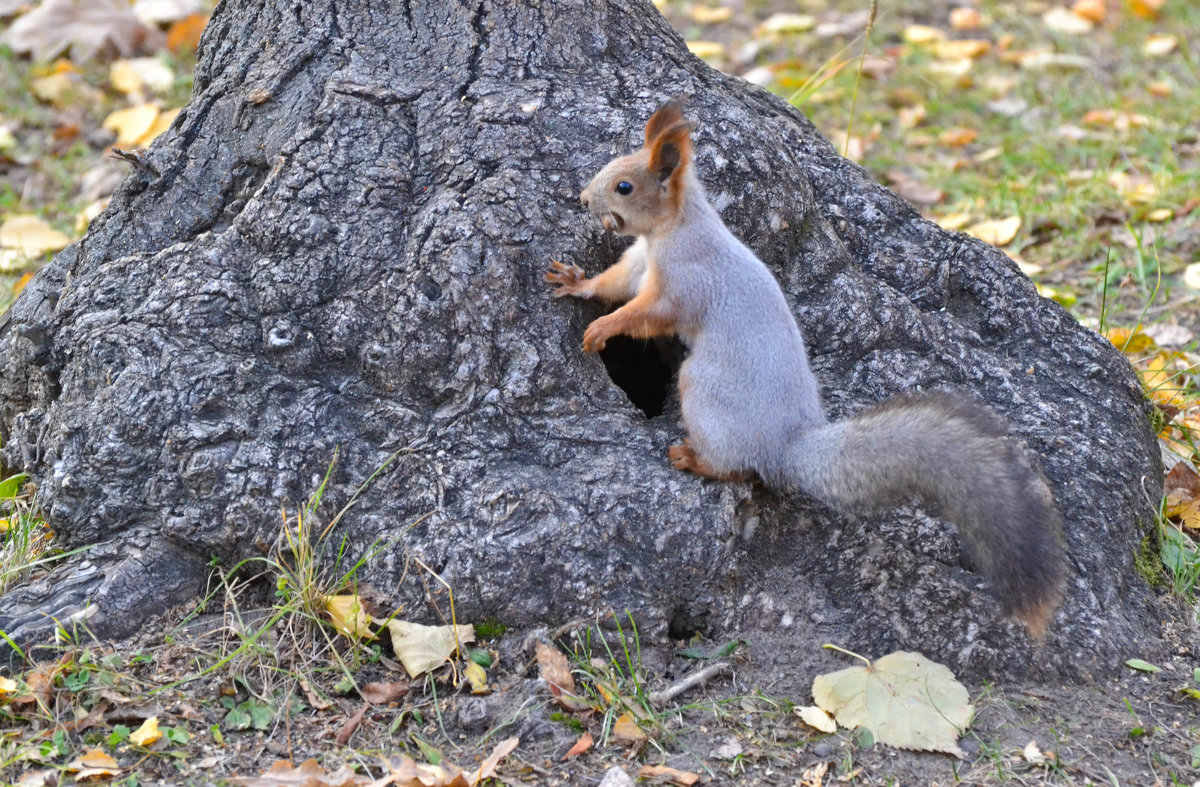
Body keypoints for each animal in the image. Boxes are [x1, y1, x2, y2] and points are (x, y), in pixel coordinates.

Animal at [549, 100, 1065, 638]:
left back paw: (694, 459)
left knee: (741, 469)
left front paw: (602, 329)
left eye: (625, 186)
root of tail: (785, 445)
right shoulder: (638, 263)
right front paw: (575, 284)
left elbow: (646, 314)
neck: (675, 229)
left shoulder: (685, 284)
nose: (582, 197)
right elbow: (613, 282)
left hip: (705, 392)